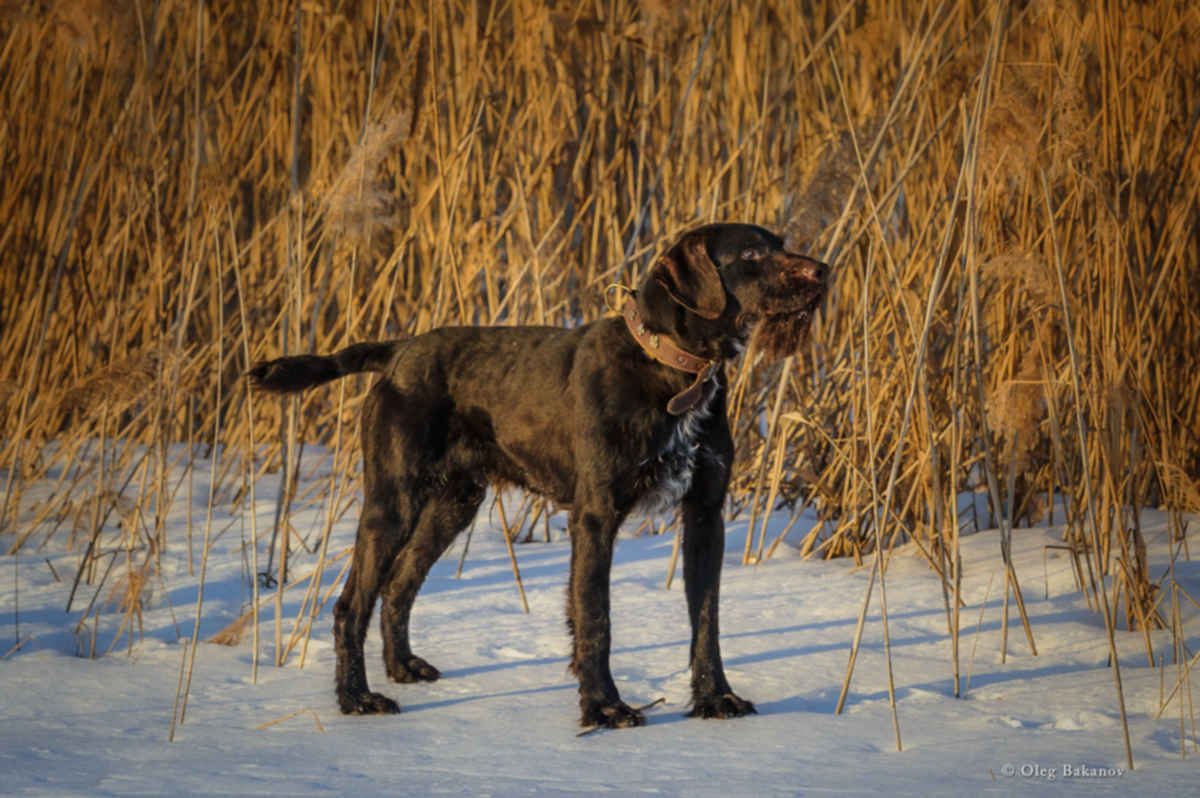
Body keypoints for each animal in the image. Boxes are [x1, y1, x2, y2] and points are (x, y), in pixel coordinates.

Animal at [248, 220, 830, 724]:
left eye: (780, 244)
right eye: (750, 254)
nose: (824, 269)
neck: (670, 369)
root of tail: (400, 351)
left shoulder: (705, 515)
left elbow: (706, 619)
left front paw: (715, 699)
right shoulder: (595, 517)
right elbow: (595, 616)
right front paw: (604, 708)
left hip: (454, 503)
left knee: (399, 585)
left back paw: (402, 668)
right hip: (393, 502)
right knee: (351, 604)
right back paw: (357, 699)